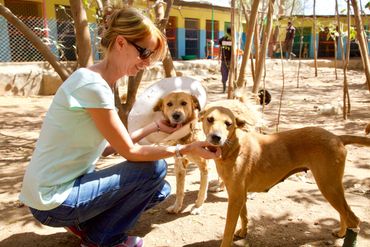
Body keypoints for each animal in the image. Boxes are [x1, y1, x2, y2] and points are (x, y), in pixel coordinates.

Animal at [201, 103, 368, 247]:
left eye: (228, 124)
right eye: (210, 119)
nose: (216, 137)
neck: (233, 146)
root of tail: (337, 137)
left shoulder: (236, 197)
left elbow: (227, 231)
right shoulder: (238, 194)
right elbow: (244, 215)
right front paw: (243, 232)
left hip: (328, 186)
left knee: (353, 218)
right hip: (333, 186)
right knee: (344, 212)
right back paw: (341, 233)